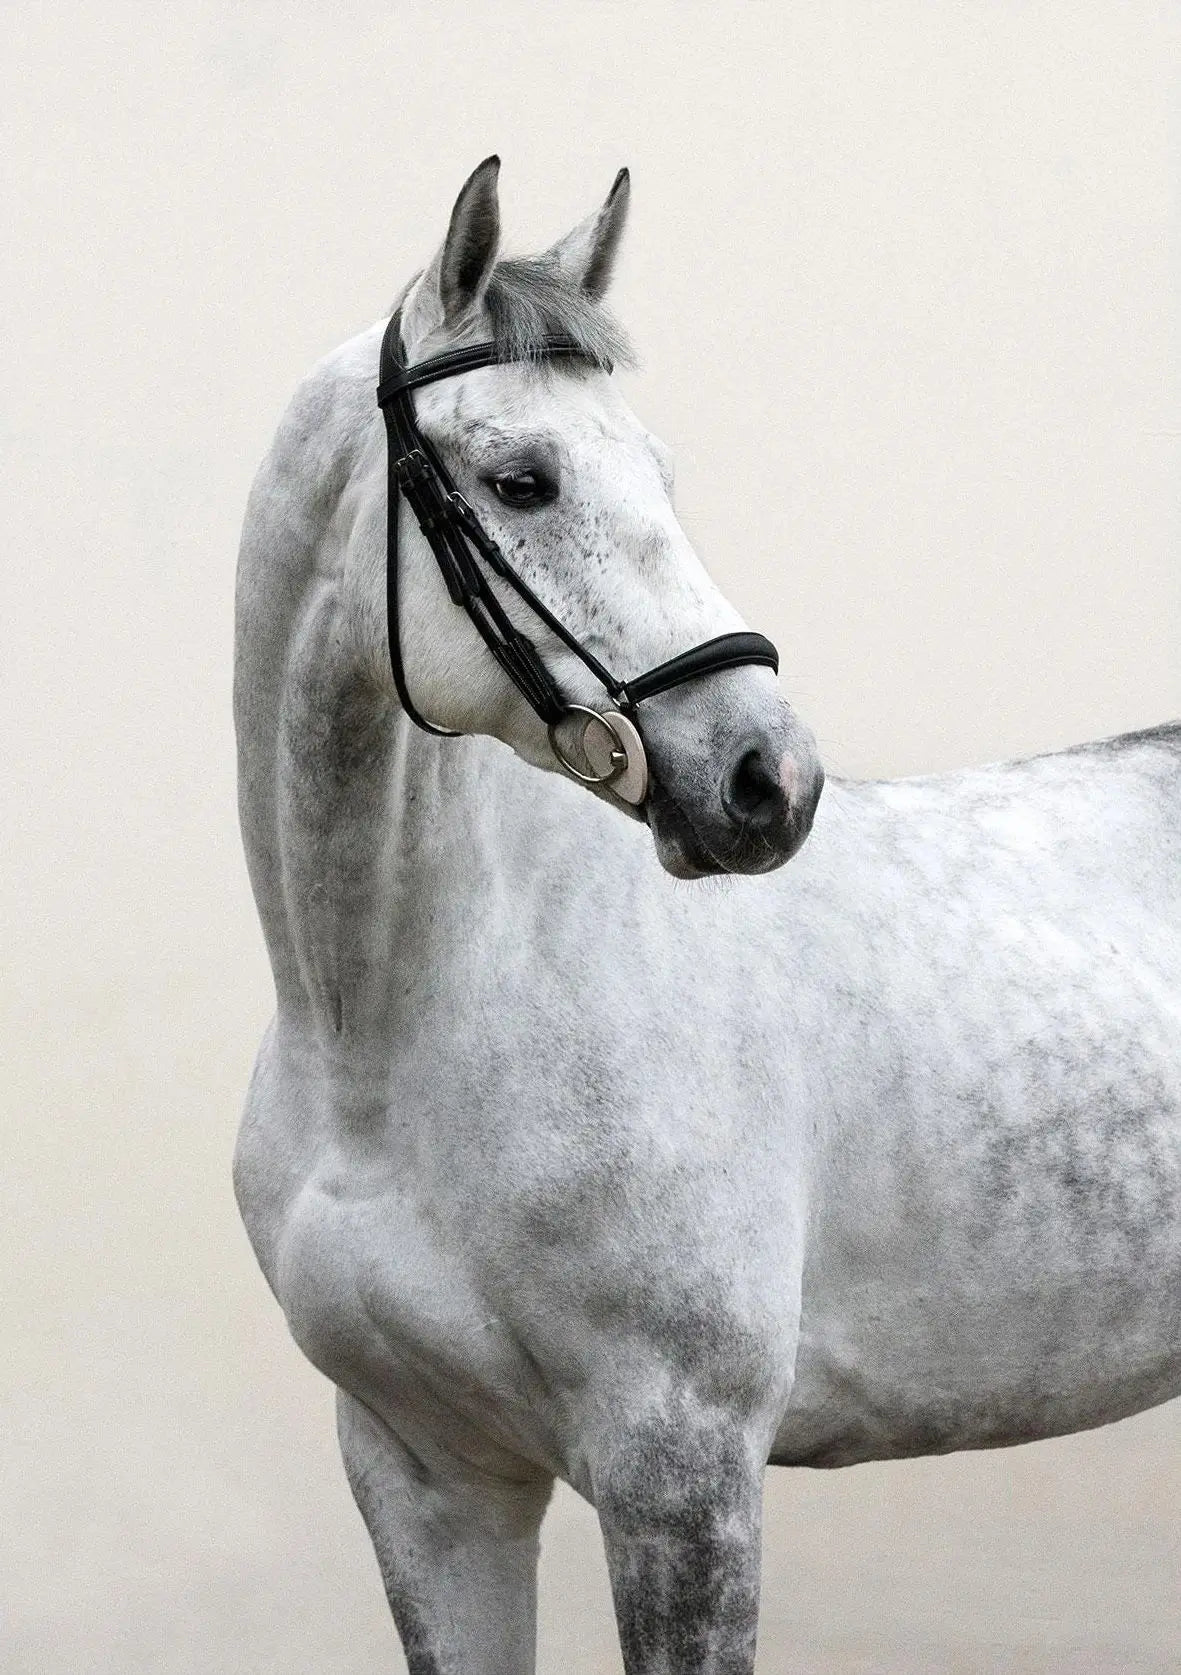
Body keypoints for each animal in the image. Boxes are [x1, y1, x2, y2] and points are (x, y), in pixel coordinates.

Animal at [233, 157, 1181, 1673]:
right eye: (523, 479)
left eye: (662, 472)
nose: (764, 779)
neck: (385, 1034)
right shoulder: (425, 1470)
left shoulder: (680, 1464)